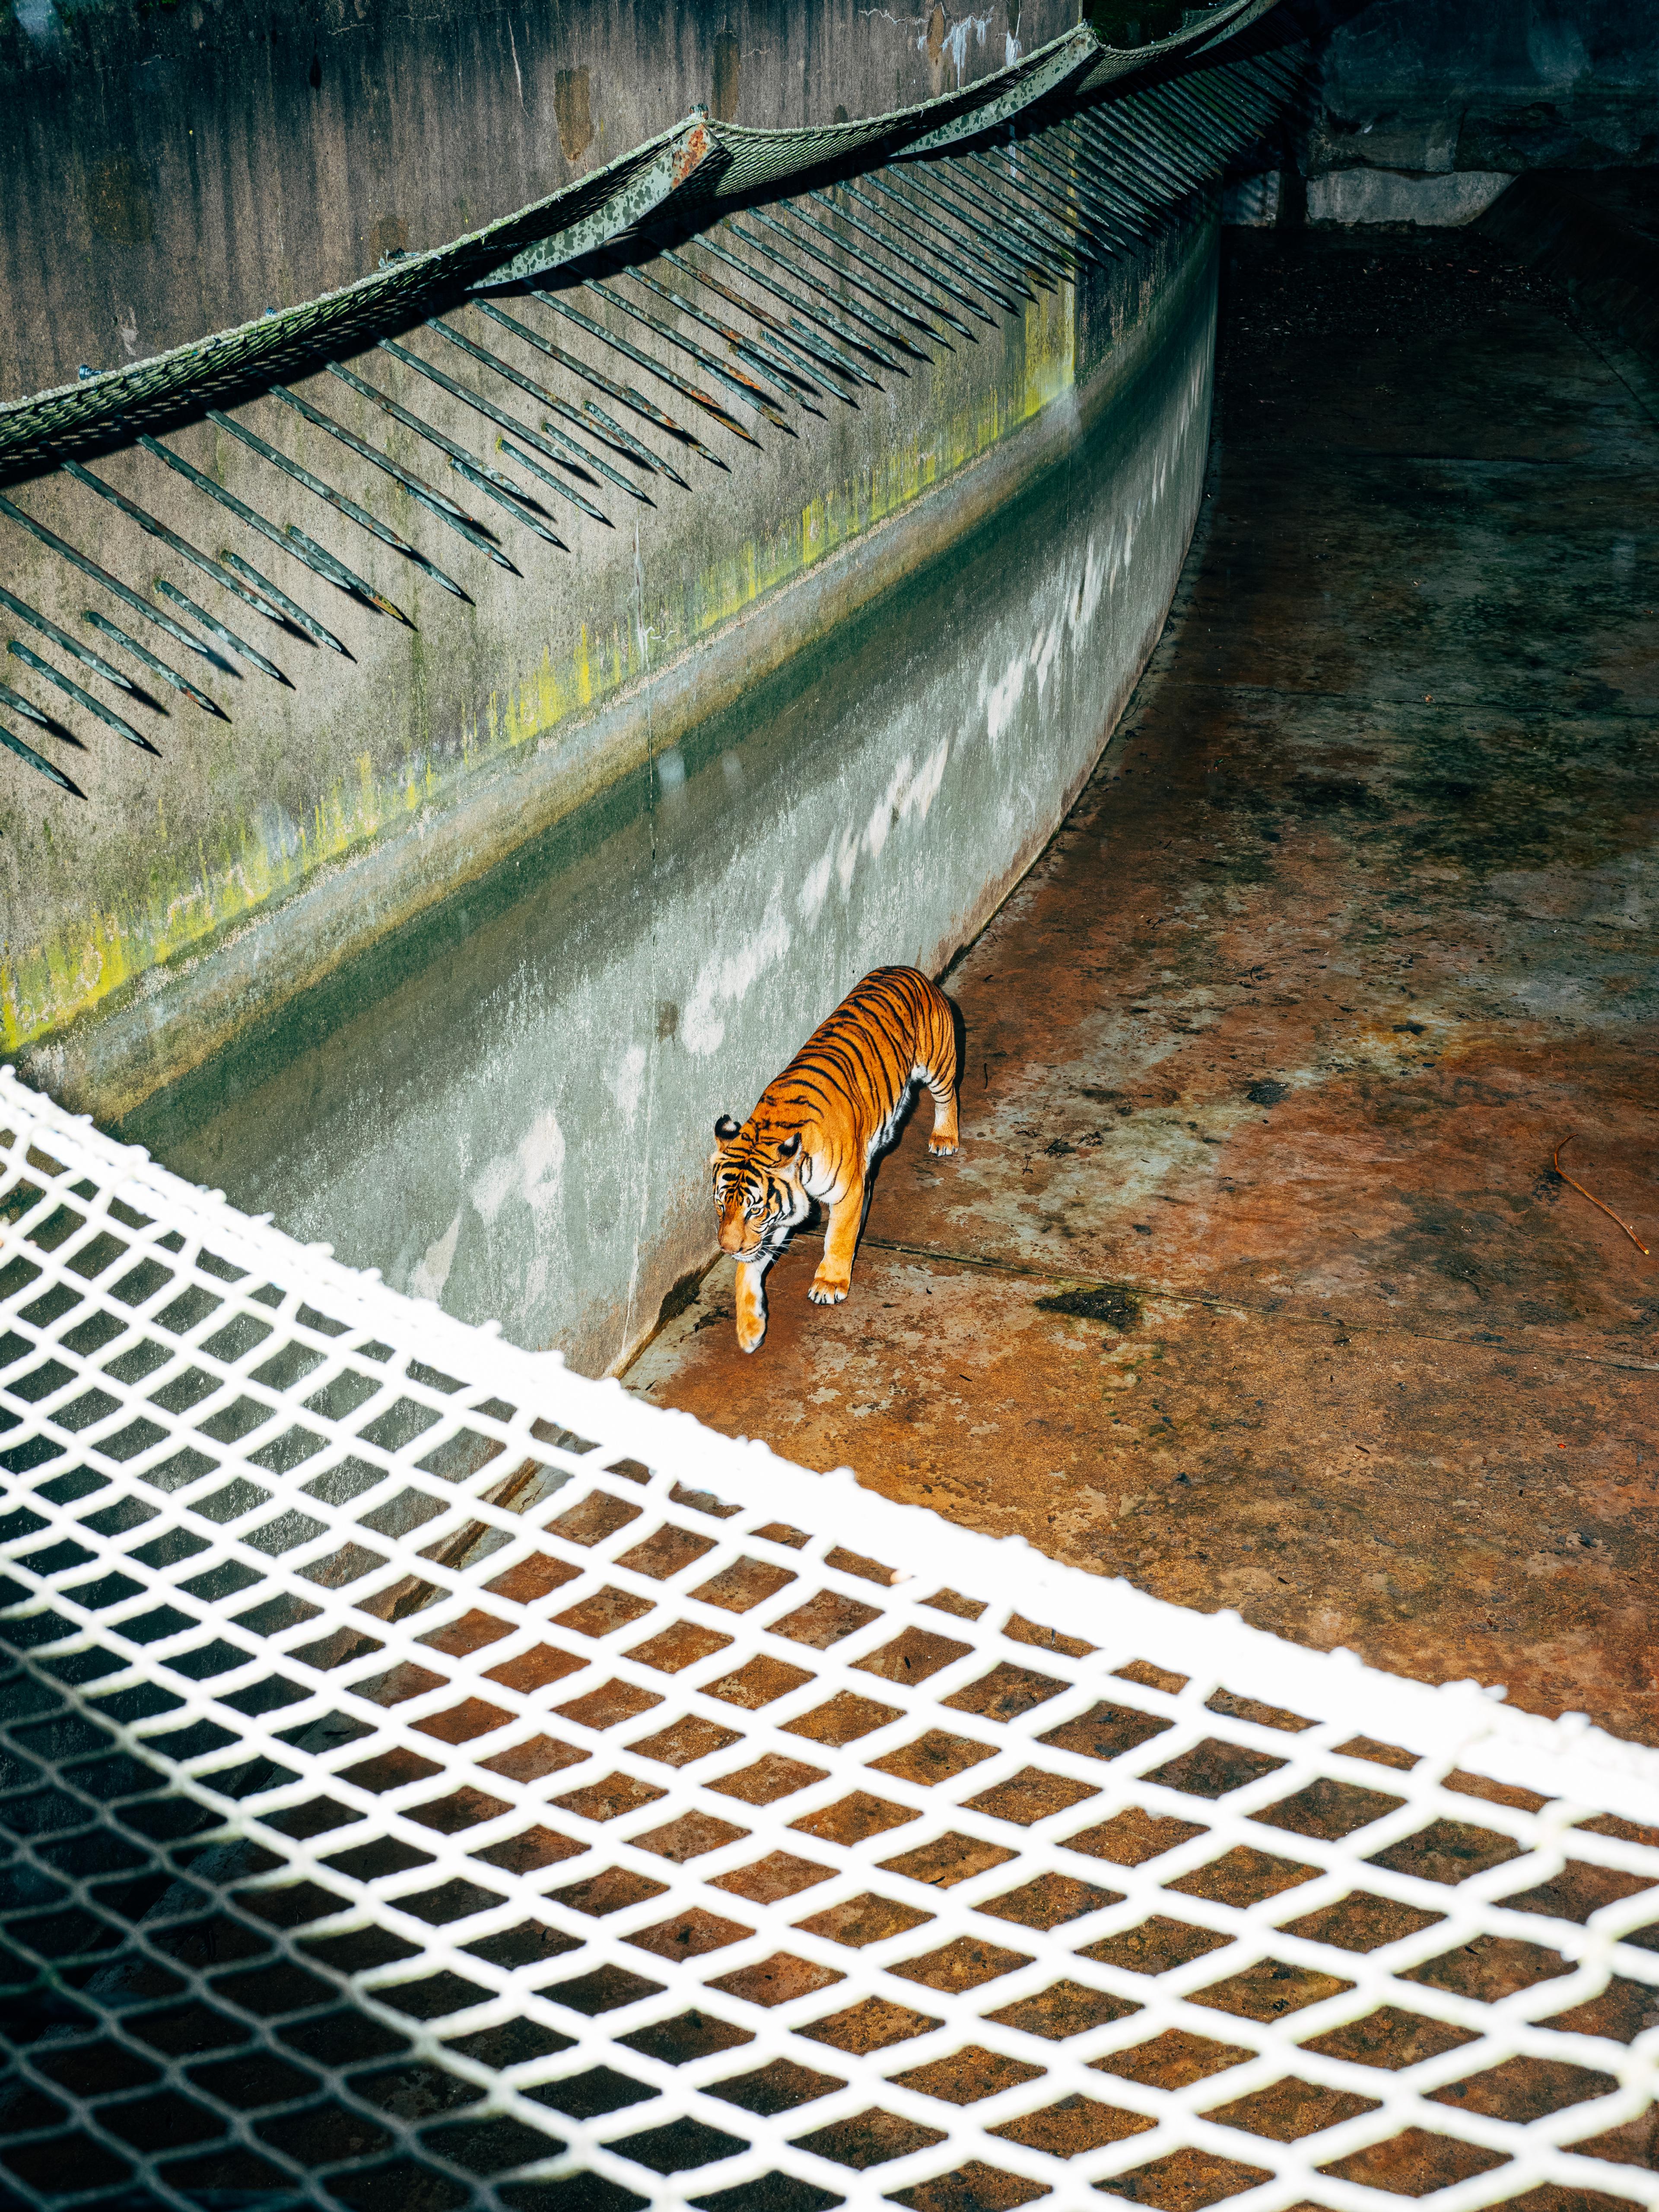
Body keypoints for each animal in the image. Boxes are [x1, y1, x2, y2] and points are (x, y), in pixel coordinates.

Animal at [710, 965, 960, 1353]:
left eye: (755, 1210)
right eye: (722, 1206)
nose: (727, 1249)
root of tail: (908, 969)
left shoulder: (846, 1192)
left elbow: (838, 1238)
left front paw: (830, 1285)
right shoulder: (776, 1220)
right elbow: (748, 1269)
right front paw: (749, 1329)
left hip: (937, 1063)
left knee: (949, 1096)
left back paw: (945, 1138)